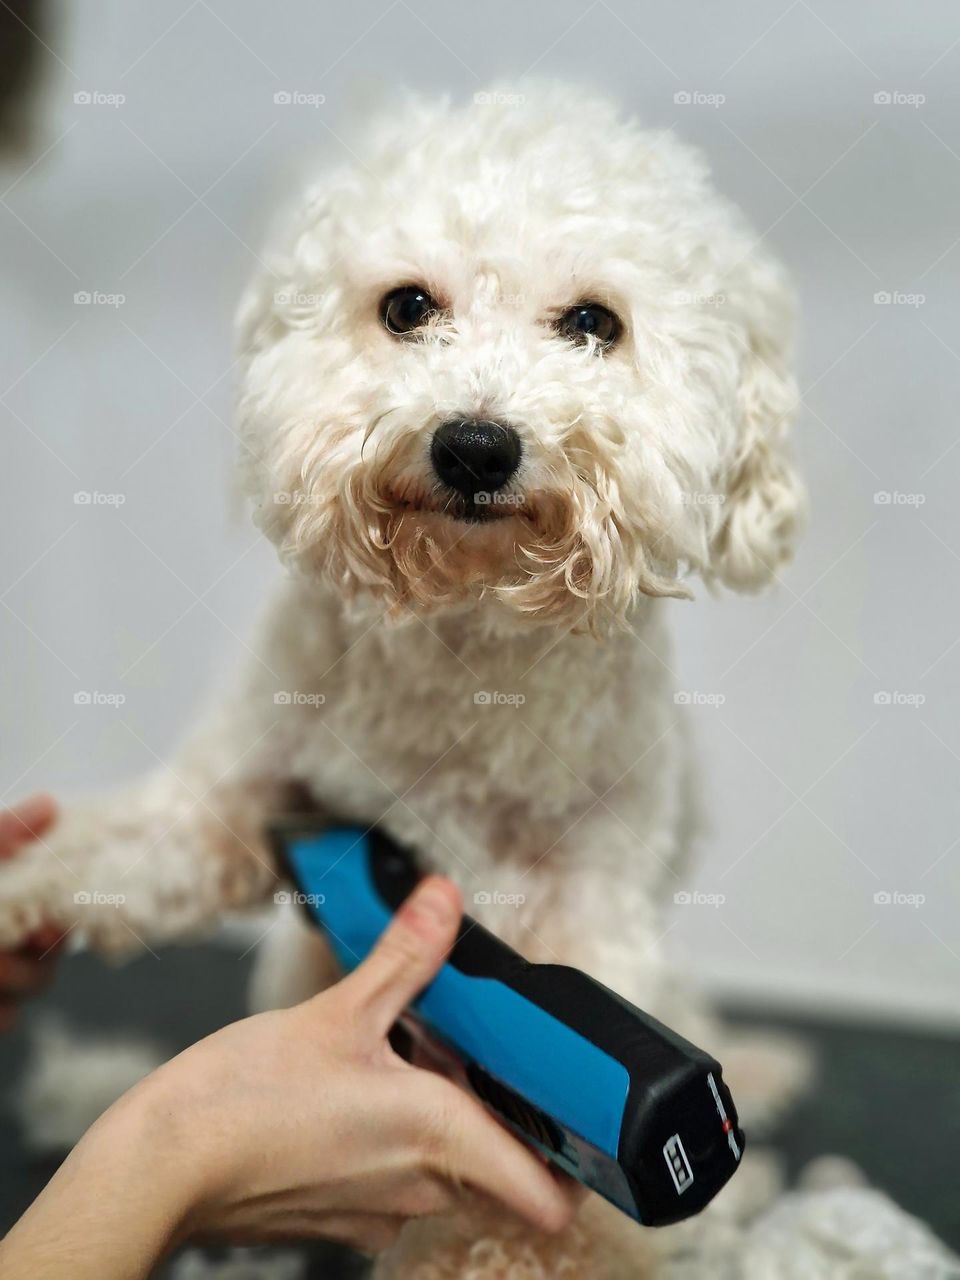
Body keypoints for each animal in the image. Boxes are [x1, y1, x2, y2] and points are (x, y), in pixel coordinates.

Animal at [0, 85, 814, 1274]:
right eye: (407, 306)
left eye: (593, 323)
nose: (475, 444)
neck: (462, 643)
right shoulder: (240, 801)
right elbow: (123, 846)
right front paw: (22, 884)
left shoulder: (578, 907)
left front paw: (502, 1251)